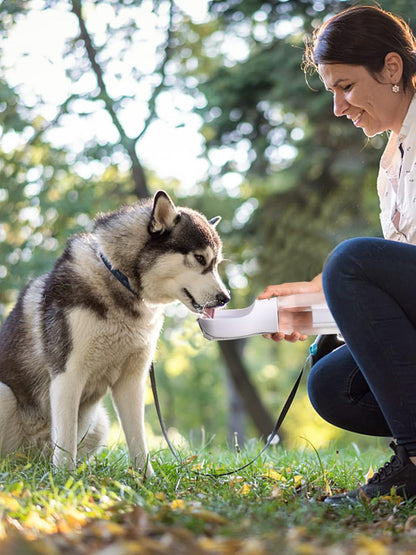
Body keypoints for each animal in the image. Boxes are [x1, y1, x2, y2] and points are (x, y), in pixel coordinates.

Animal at [0, 192, 229, 478]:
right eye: (199, 258)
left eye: (216, 264)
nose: (225, 298)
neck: (122, 282)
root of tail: (29, 462)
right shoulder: (67, 375)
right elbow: (65, 439)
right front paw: (64, 478)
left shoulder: (131, 380)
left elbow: (138, 439)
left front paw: (146, 479)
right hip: (5, 396)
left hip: (99, 422)